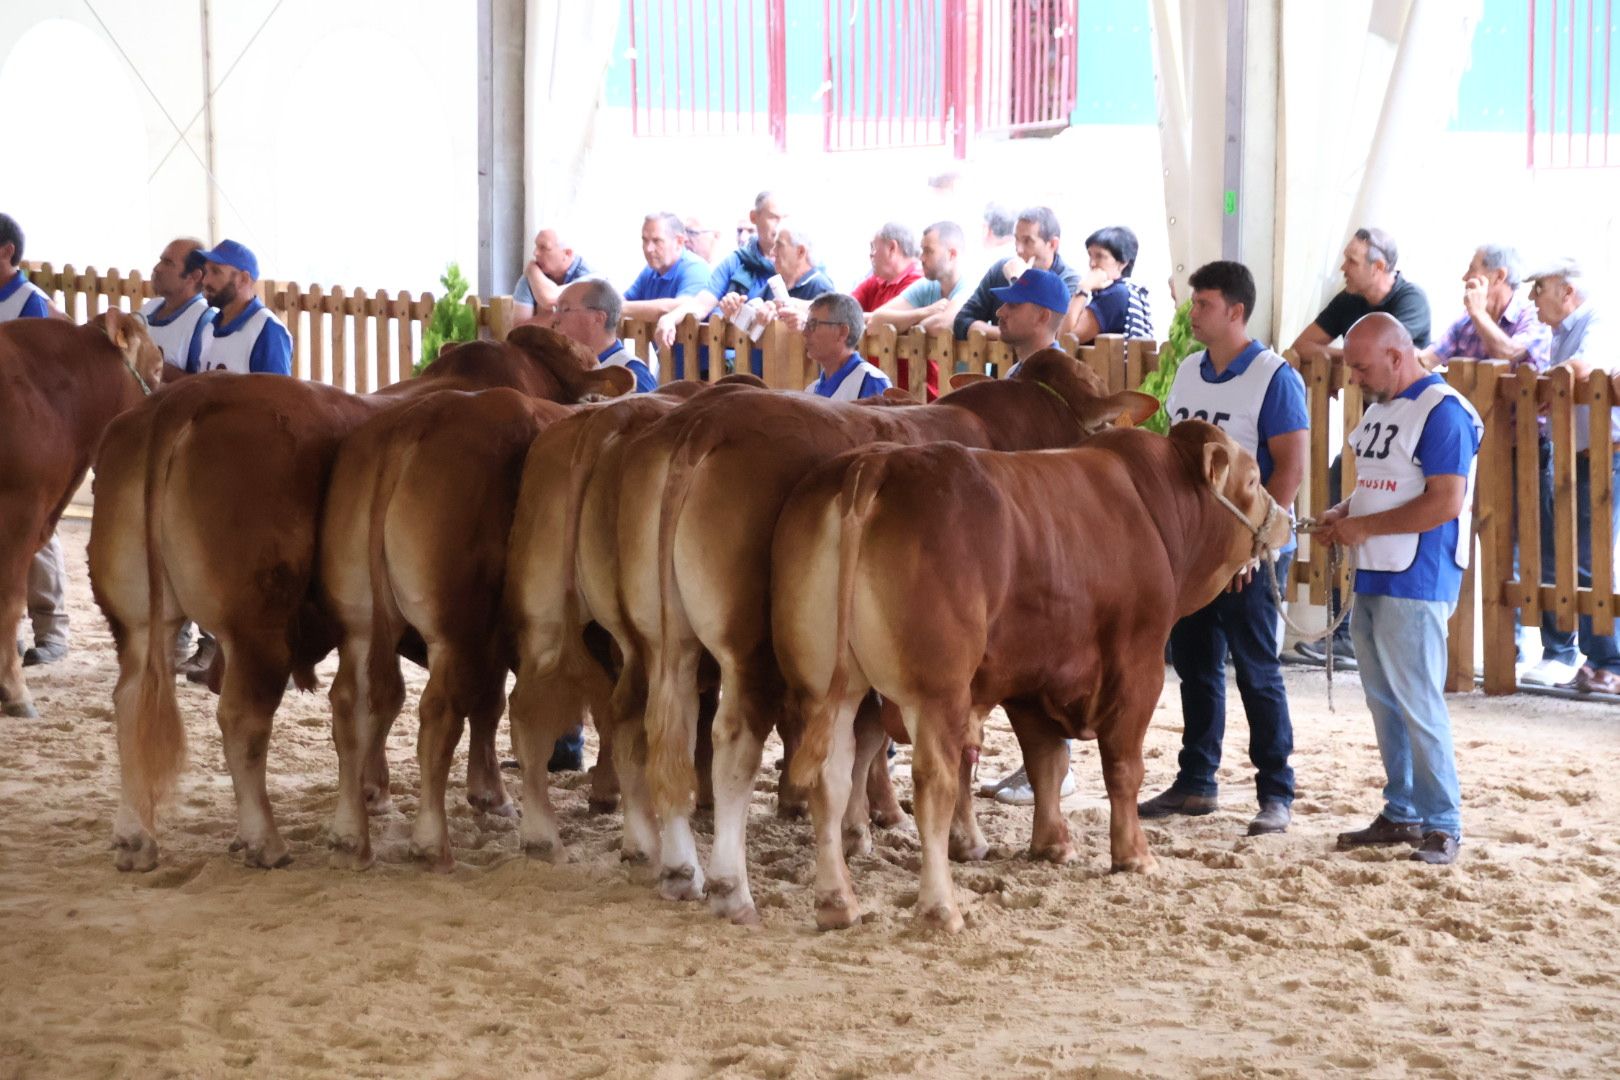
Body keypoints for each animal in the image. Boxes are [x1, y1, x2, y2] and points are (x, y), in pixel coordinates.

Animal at [90, 325, 618, 874]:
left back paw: (135, 837)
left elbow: (387, 702)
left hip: (137, 619)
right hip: (258, 624)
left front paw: (374, 790)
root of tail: (179, 403)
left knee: (132, 702)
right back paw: (265, 840)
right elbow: (482, 703)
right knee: (244, 717)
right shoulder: (478, 627)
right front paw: (488, 793)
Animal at [612, 351, 1159, 926]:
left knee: (662, 727)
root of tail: (702, 425)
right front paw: (963, 839)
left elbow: (868, 743)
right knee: (732, 740)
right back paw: (731, 887)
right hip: (747, 647)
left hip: (662, 638)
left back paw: (676, 867)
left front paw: (861, 830)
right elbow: (958, 751)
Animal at [771, 420, 1289, 932]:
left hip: (825, 687)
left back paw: (837, 903)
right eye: (1251, 480)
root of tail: (875, 463)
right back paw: (941, 908)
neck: (1151, 508)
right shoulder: (1138, 671)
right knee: (933, 783)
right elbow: (1123, 767)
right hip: (936, 692)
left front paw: (1052, 845)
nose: (1287, 519)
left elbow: (1047, 762)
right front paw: (1134, 857)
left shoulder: (1030, 678)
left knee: (832, 776)